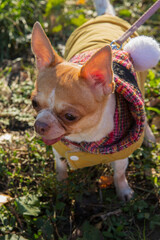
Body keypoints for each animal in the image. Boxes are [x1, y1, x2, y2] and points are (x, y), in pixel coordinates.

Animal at [30, 0, 157, 201]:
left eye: (70, 116)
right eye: (34, 103)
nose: (40, 125)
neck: (84, 138)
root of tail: (105, 16)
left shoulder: (120, 157)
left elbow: (119, 174)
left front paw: (123, 191)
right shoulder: (58, 150)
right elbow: (61, 169)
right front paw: (61, 189)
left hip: (141, 82)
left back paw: (149, 136)